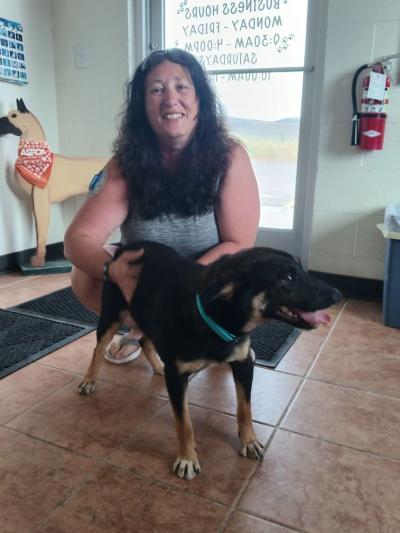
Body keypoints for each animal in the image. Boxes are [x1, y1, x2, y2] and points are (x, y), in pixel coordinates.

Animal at [79, 241, 342, 478]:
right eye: (287, 277)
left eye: (301, 269)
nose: (338, 294)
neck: (215, 316)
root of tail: (125, 247)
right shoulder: (178, 378)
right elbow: (184, 423)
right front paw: (187, 458)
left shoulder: (243, 363)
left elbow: (245, 408)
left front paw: (249, 441)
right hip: (112, 315)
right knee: (98, 350)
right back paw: (89, 380)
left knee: (145, 341)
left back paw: (158, 367)